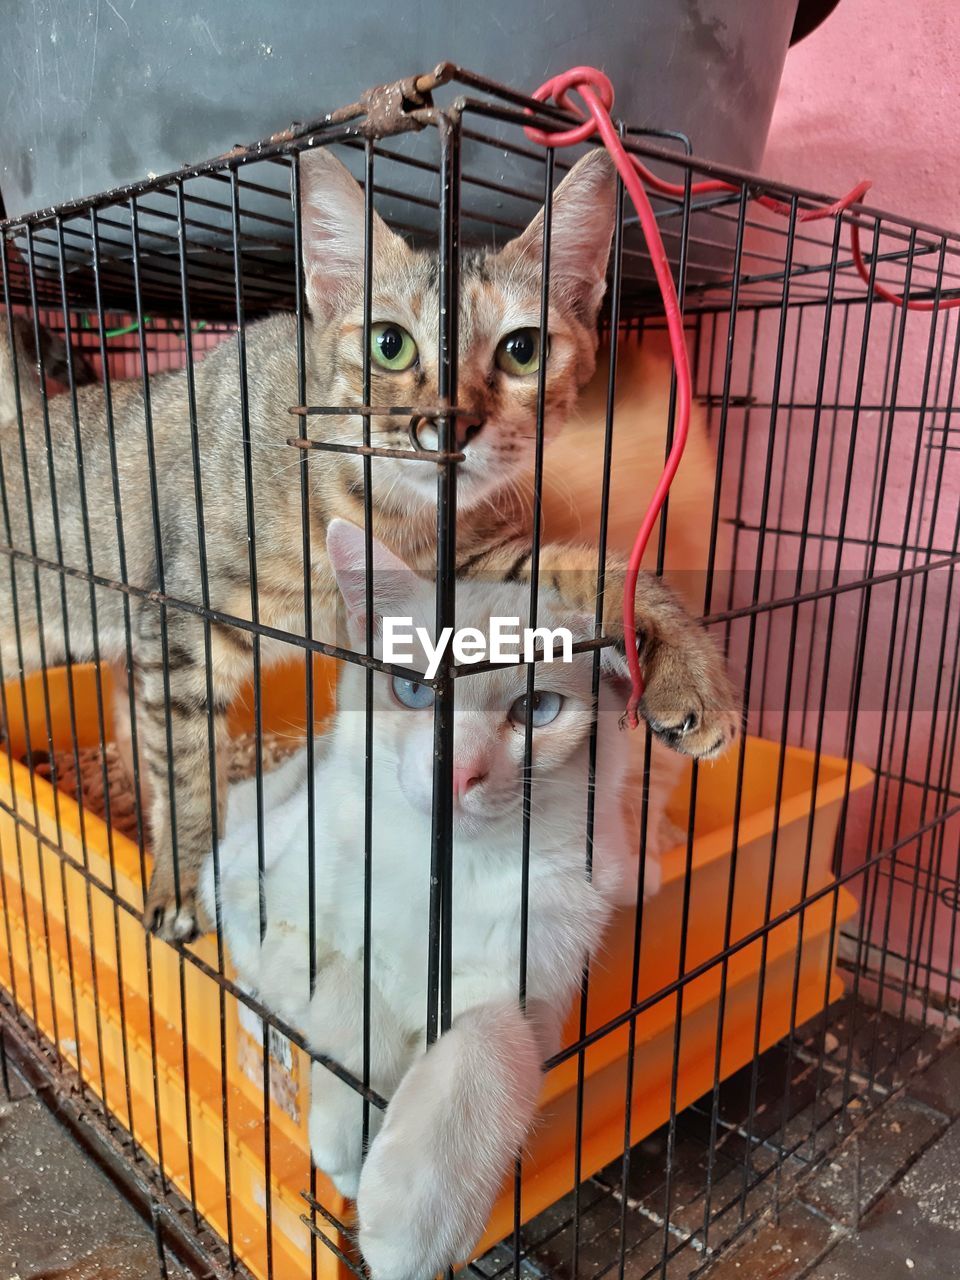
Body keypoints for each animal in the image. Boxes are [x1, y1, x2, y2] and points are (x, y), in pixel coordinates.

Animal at [199, 519, 665, 1280]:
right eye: (415, 691)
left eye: (538, 708)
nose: (458, 773)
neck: (443, 874)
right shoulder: (259, 898)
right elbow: (346, 987)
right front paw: (346, 1138)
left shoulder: (535, 981)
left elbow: (492, 1042)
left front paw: (409, 1225)